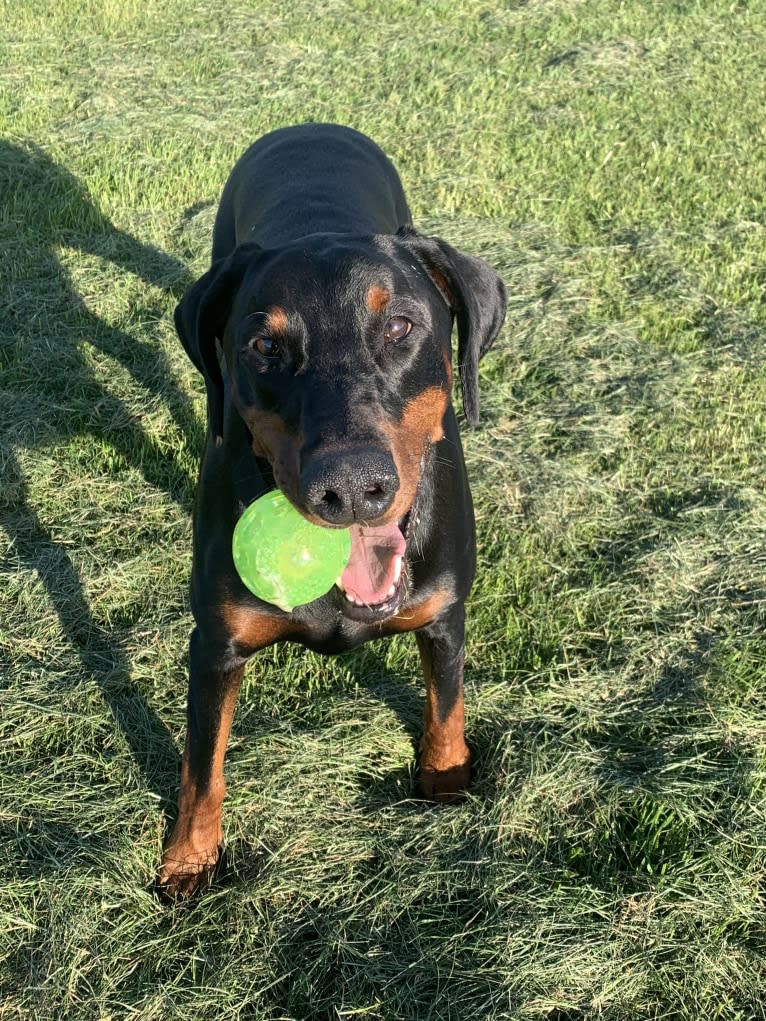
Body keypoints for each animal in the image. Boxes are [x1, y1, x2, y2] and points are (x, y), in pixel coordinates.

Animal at [160, 123, 510, 898]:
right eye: (264, 344)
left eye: (402, 326)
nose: (349, 487)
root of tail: (309, 126)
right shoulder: (215, 643)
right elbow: (203, 763)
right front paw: (189, 857)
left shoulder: (444, 611)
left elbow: (447, 701)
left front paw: (446, 773)